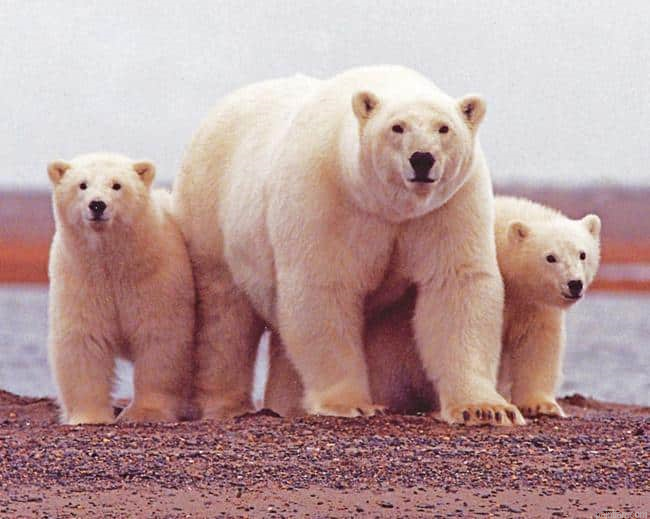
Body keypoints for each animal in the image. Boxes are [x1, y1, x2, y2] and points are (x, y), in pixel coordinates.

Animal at [47, 153, 195, 425]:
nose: (97, 205)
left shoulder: (155, 277)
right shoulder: (81, 279)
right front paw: (90, 416)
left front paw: (145, 413)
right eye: (82, 184)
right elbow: (84, 339)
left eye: (117, 185)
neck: (114, 264)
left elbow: (160, 338)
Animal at [173, 65, 524, 426]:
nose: (422, 159)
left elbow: (456, 284)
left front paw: (485, 408)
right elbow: (324, 288)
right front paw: (350, 403)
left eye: (444, 128)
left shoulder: (448, 206)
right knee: (225, 317)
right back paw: (227, 405)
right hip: (210, 212)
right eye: (397, 127)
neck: (387, 206)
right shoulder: (326, 196)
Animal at [265, 196, 601, 421]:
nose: (574, 284)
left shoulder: (531, 303)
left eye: (582, 254)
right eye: (550, 257)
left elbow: (537, 343)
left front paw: (541, 405)